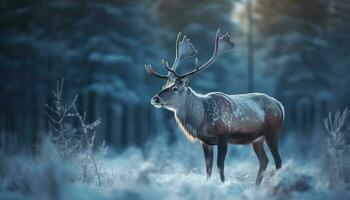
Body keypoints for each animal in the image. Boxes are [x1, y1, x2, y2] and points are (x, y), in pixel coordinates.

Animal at [145, 28, 284, 185]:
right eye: (164, 86)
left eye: (174, 88)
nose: (155, 99)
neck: (201, 119)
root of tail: (279, 105)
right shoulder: (205, 141)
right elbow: (208, 168)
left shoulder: (223, 136)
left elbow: (220, 165)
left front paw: (223, 184)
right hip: (257, 139)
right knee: (264, 161)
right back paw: (256, 186)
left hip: (273, 133)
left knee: (278, 161)